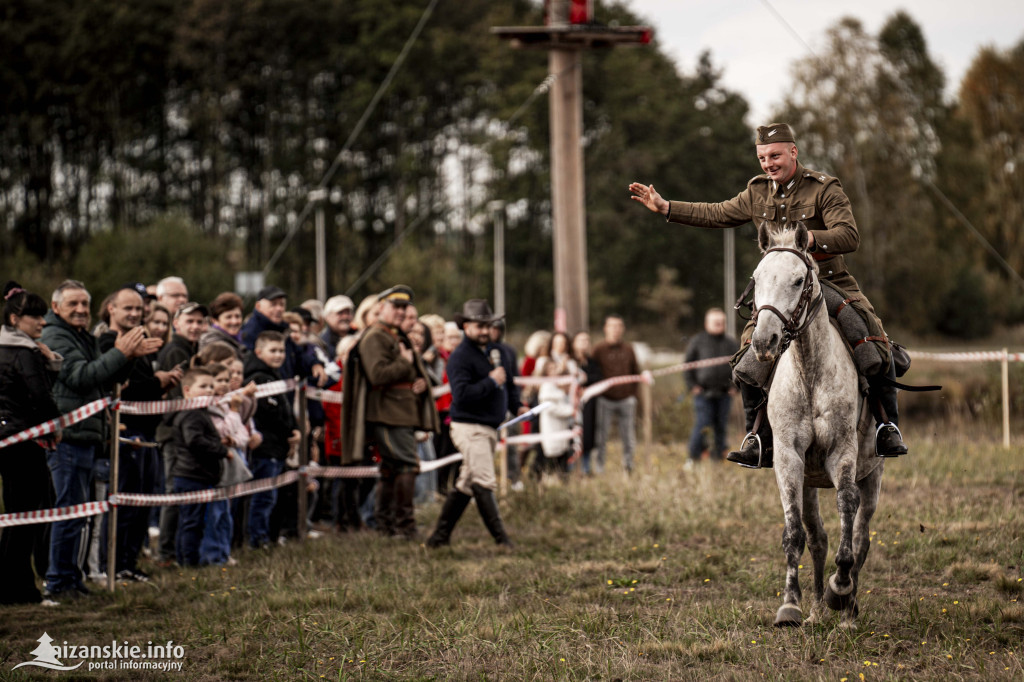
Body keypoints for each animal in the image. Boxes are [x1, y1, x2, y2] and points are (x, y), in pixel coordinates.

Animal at [749, 223, 884, 626]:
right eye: (756, 279)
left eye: (798, 280)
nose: (764, 341)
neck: (809, 371)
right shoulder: (788, 458)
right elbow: (795, 533)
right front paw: (790, 605)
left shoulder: (844, 452)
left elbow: (846, 506)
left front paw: (841, 588)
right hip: (809, 482)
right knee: (817, 537)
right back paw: (817, 609)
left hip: (873, 474)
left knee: (861, 534)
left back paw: (847, 606)